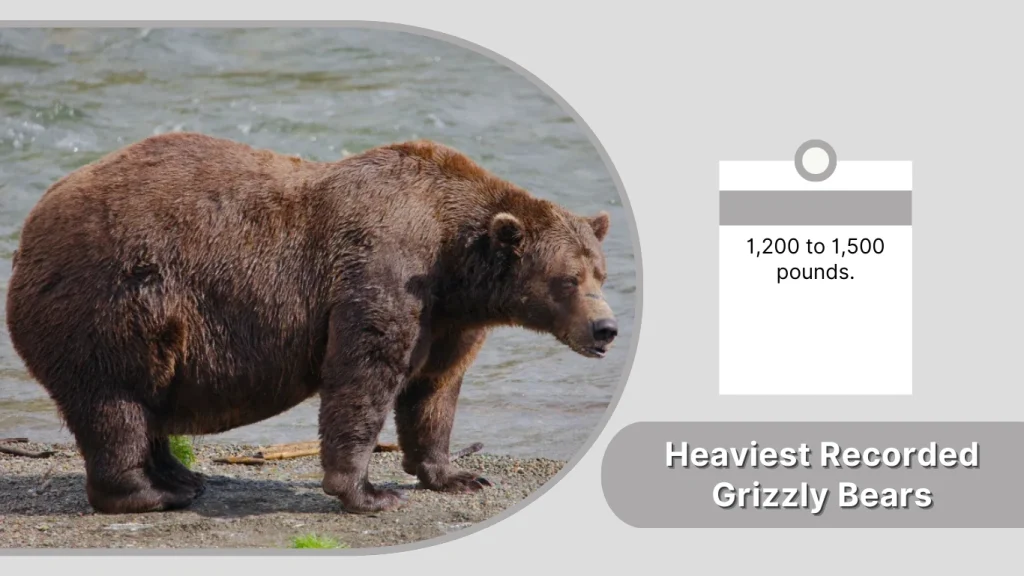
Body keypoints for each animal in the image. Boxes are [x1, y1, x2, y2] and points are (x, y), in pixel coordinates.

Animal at [4, 132, 619, 515]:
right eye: (568, 279)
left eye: (601, 272)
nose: (606, 329)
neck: (455, 262)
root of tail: (30, 226)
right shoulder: (383, 270)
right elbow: (363, 375)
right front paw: (368, 493)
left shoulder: (448, 319)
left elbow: (434, 389)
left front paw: (457, 476)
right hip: (113, 299)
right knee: (116, 401)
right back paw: (151, 493)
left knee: (146, 401)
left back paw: (182, 477)